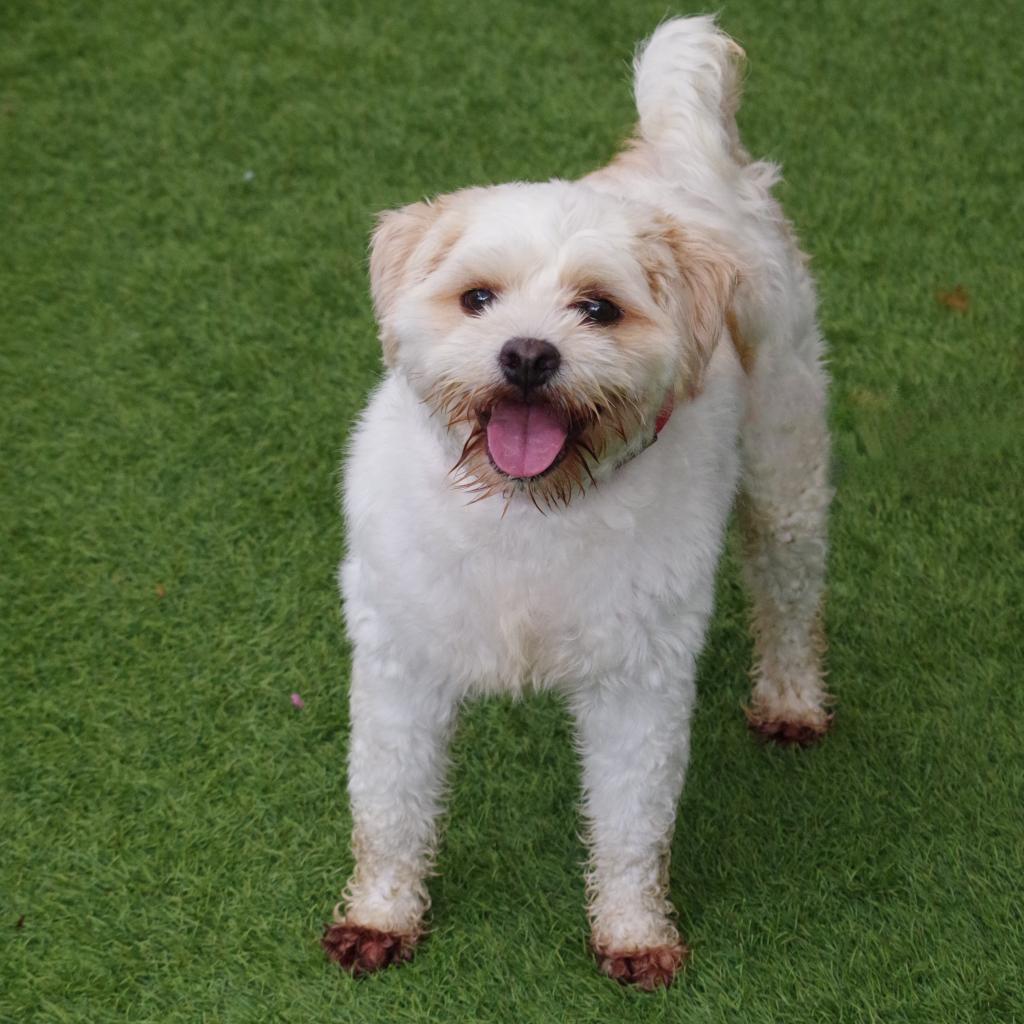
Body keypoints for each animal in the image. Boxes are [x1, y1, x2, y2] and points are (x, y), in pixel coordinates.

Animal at [323, 14, 835, 991]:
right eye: (477, 297)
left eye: (598, 308)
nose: (528, 354)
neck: (528, 513)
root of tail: (679, 148)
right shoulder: (401, 663)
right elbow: (390, 809)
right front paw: (380, 918)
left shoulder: (638, 681)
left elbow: (633, 824)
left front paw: (633, 935)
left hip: (788, 472)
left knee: (789, 597)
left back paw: (791, 702)